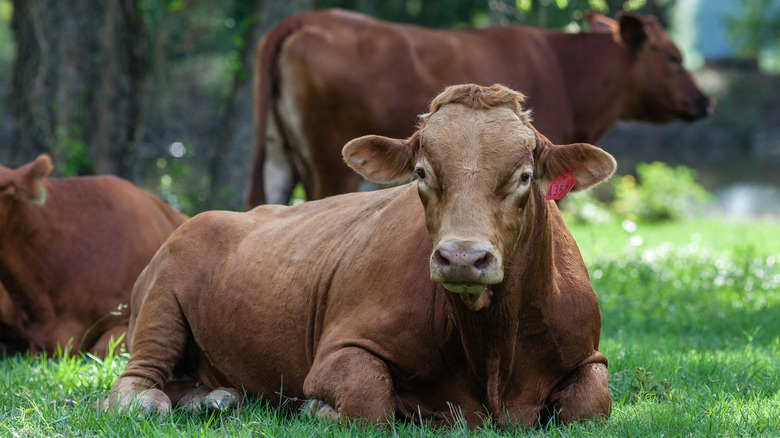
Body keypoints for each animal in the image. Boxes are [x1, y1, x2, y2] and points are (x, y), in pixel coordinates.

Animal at [103, 84, 616, 430]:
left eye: (524, 176)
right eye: (422, 173)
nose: (462, 258)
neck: (490, 352)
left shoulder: (589, 354)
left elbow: (590, 407)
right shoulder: (338, 350)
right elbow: (371, 402)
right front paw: (316, 407)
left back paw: (217, 398)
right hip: (162, 300)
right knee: (134, 382)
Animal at [245, 9, 712, 209]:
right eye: (674, 57)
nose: (705, 101)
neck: (567, 72)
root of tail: (305, 17)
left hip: (278, 155)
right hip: (331, 165)